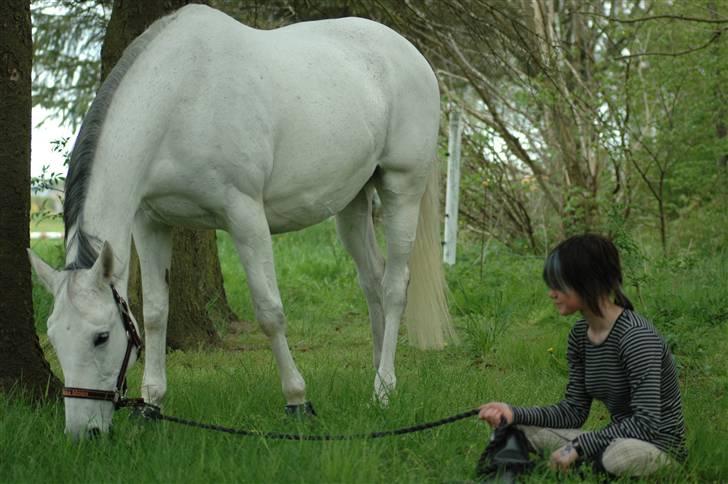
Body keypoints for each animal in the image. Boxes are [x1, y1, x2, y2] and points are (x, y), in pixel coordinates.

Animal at [28, 3, 456, 440]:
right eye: (54, 336)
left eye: (101, 337)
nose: (83, 433)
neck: (180, 98)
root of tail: (410, 54)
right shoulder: (151, 223)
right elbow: (155, 313)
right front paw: (151, 405)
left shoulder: (245, 215)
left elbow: (269, 311)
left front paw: (298, 401)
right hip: (352, 202)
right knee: (371, 280)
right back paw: (378, 372)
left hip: (402, 187)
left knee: (394, 286)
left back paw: (383, 389)